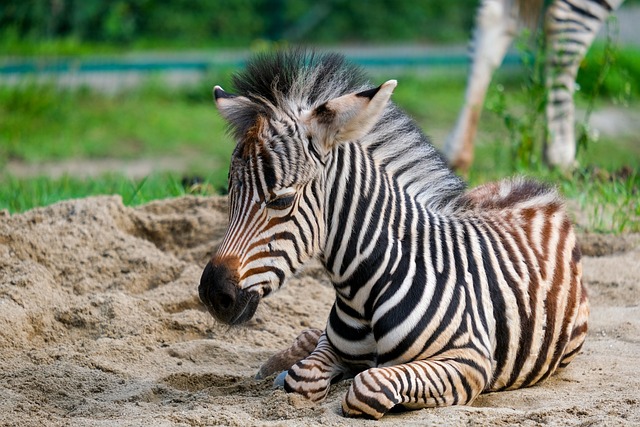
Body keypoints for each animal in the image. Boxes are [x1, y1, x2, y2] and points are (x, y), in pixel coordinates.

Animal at [198, 49, 588, 418]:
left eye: (281, 200)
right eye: (230, 193)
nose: (213, 294)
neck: (362, 289)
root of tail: (536, 189)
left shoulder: (469, 360)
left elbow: (367, 386)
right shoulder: (332, 346)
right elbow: (302, 377)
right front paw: (295, 371)